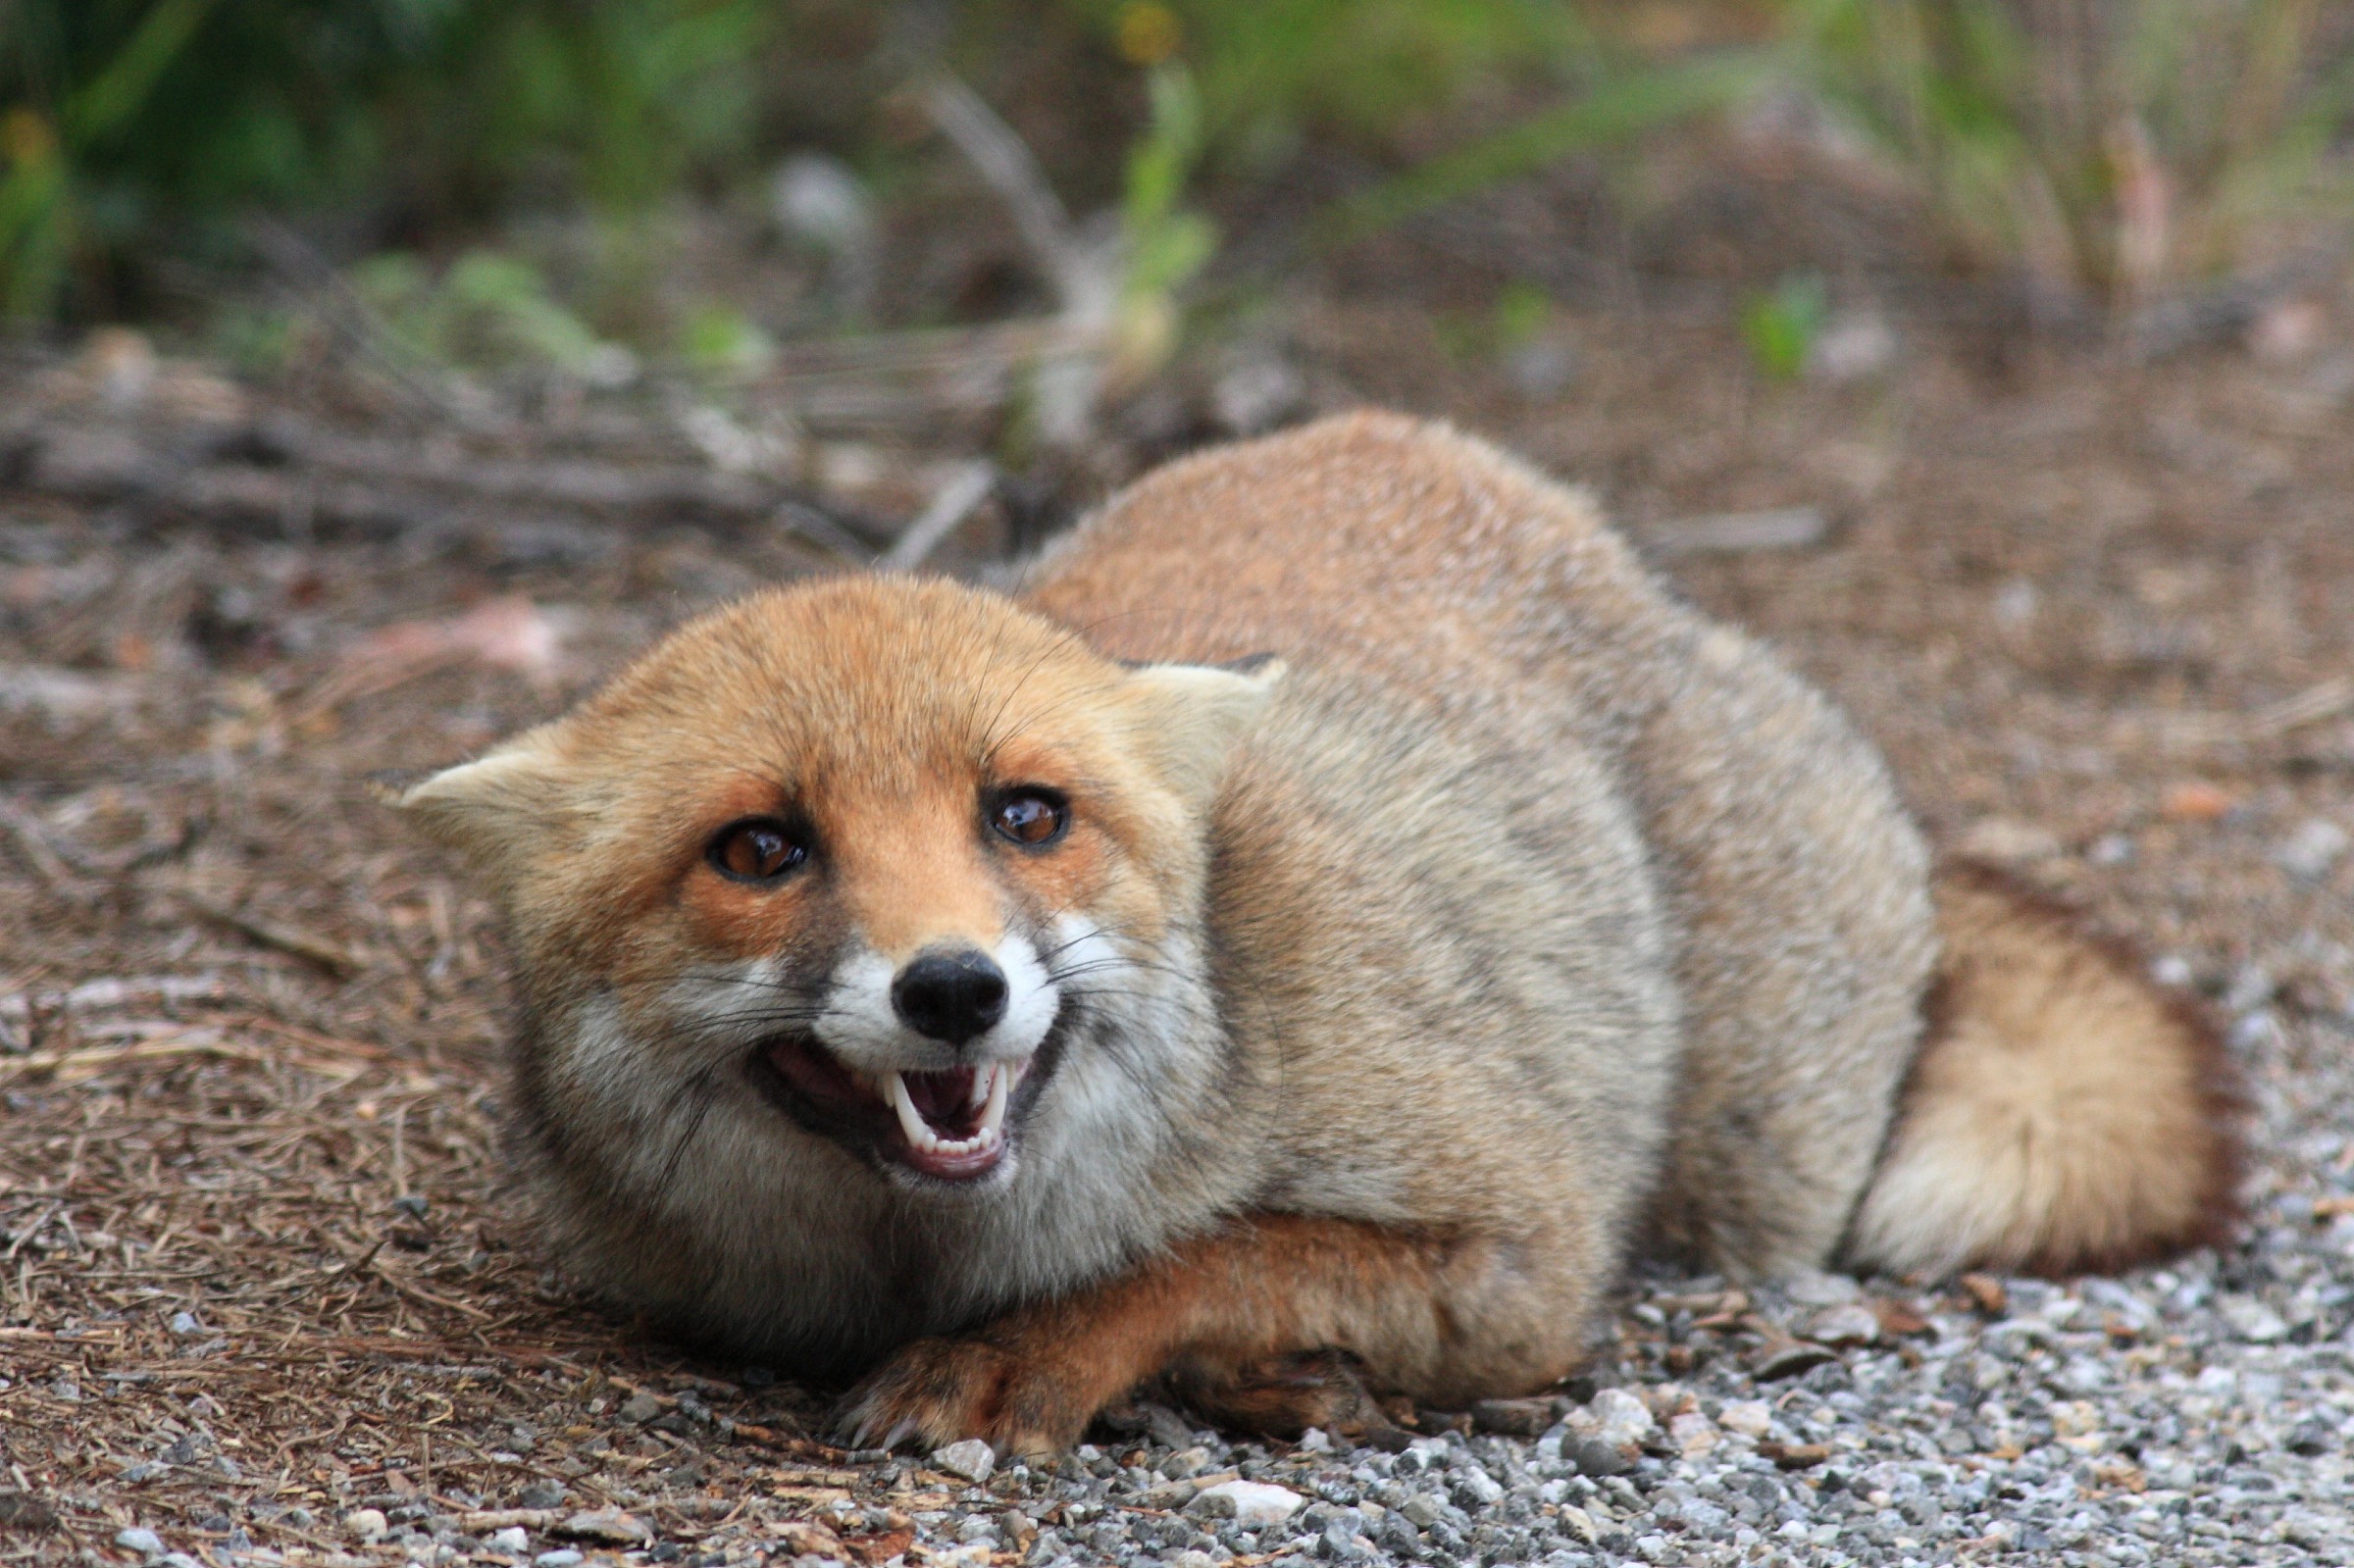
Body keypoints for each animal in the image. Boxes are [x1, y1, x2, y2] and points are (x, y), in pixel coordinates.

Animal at [390, 411, 2240, 1455]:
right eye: (763, 847)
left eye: (1025, 813)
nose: (955, 987)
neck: (923, 1257)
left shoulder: (1523, 1242)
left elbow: (1204, 1255)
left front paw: (1045, 1356)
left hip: (1748, 1169)